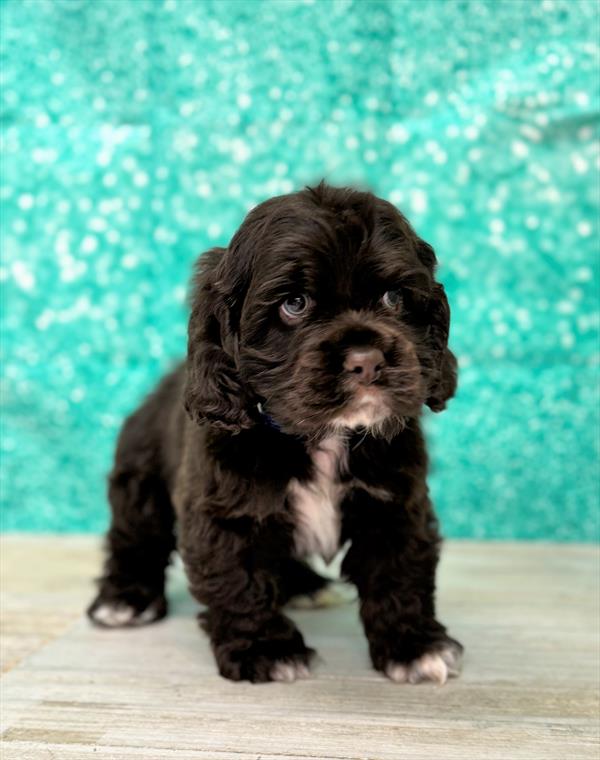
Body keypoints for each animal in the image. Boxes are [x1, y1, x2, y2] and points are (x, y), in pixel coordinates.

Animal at [88, 181, 464, 684]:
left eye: (393, 298)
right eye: (294, 304)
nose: (367, 360)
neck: (322, 434)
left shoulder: (396, 504)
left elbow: (400, 572)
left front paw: (414, 646)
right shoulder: (225, 513)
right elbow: (240, 579)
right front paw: (267, 650)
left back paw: (305, 586)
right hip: (139, 475)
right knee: (135, 536)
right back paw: (125, 598)